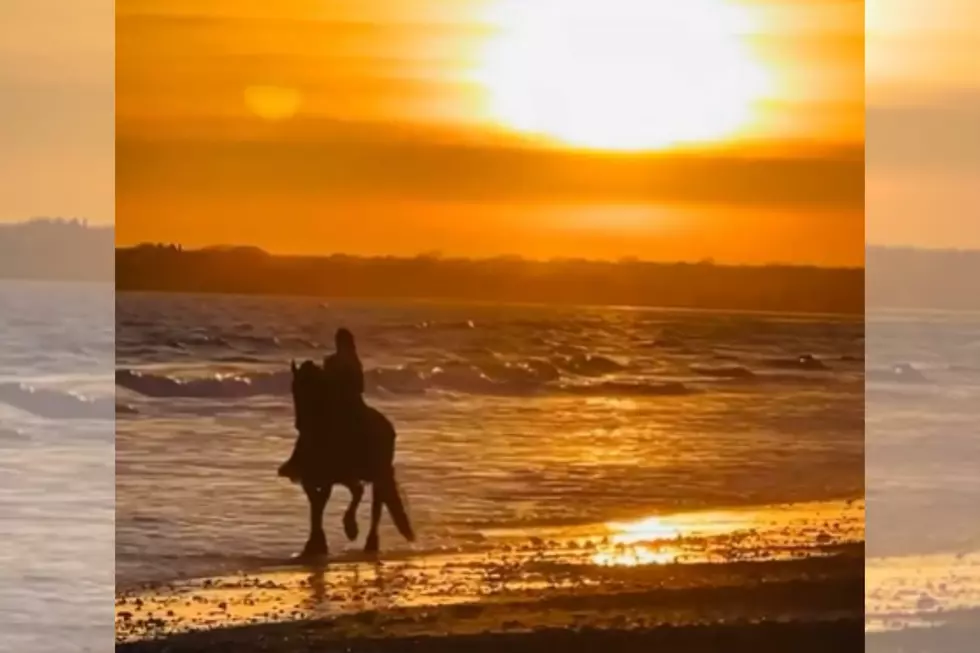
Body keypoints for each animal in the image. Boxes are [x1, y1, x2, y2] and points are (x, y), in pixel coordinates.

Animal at [290, 356, 416, 556]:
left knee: (376, 504)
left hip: (378, 473)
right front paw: (315, 543)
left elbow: (321, 501)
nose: (299, 424)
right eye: (293, 389)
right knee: (360, 492)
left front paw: (340, 533)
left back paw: (369, 542)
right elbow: (316, 502)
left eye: (307, 389)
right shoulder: (312, 475)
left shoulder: (329, 474)